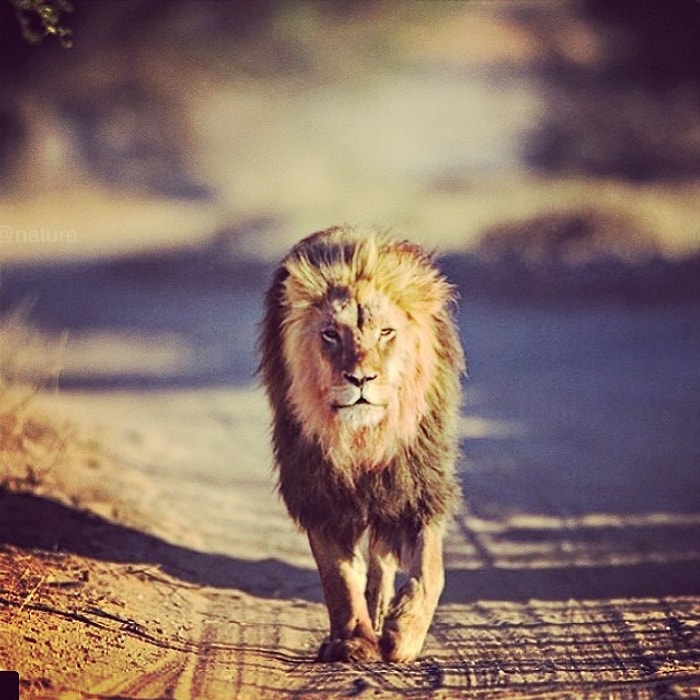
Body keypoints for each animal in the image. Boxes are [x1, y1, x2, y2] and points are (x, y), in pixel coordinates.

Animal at [258, 227, 464, 664]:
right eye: (331, 334)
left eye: (386, 332)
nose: (360, 379)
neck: (362, 439)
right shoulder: (320, 496)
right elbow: (338, 578)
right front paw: (353, 641)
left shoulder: (416, 487)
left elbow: (431, 571)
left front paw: (404, 634)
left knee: (382, 562)